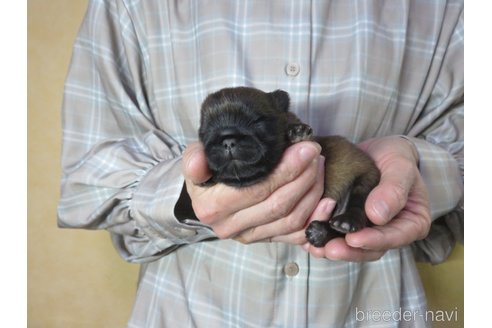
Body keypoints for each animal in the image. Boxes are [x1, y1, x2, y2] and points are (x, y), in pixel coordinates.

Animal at [198, 86, 378, 246]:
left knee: (358, 205)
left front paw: (297, 133)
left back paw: (340, 223)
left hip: (366, 180)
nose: (227, 141)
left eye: (257, 122)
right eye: (204, 131)